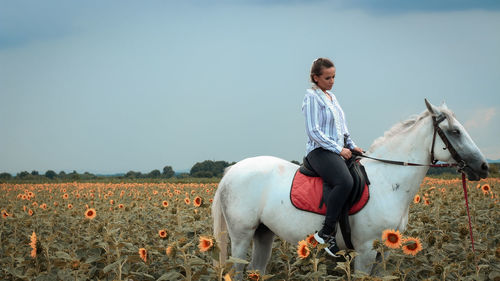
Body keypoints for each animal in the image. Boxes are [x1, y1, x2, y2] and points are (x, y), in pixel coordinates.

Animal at [212, 99, 488, 276]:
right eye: (455, 131)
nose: (484, 167)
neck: (387, 182)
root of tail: (230, 172)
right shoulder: (365, 250)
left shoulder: (385, 252)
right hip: (241, 236)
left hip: (263, 233)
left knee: (256, 270)